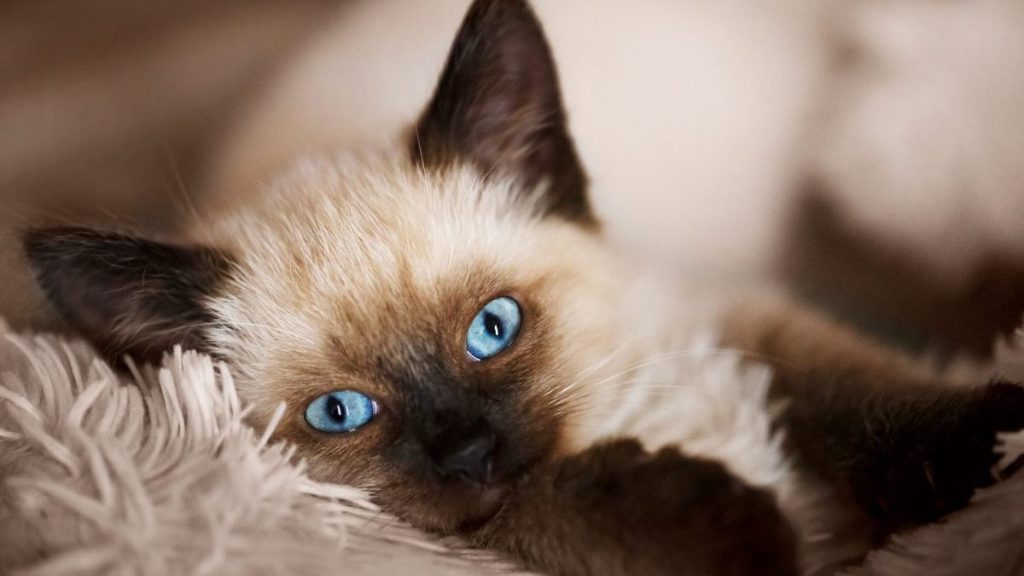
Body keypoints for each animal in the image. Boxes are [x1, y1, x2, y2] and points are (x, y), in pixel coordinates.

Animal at [19, 1, 1024, 573]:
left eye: (493, 329)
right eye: (342, 415)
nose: (468, 450)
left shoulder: (723, 309)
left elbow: (858, 392)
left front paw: (981, 454)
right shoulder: (443, 520)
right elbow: (530, 509)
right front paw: (735, 530)